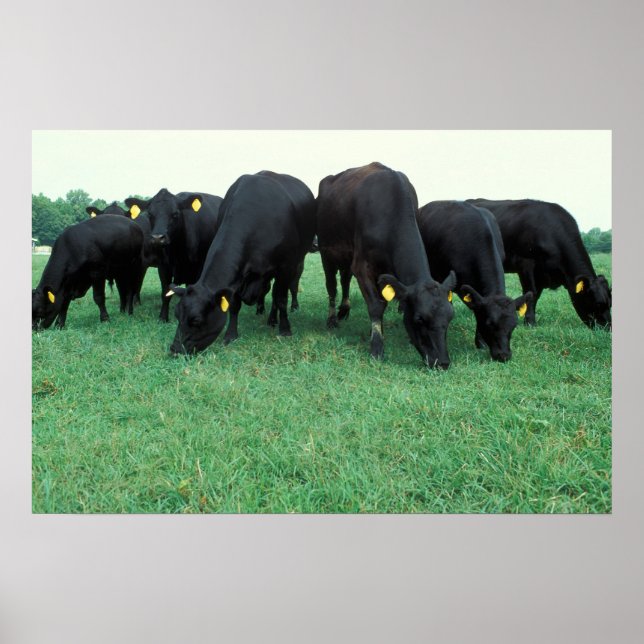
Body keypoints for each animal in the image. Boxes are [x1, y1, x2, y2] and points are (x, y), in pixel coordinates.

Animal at [124, 189, 223, 322]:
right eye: (150, 214)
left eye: (175, 214)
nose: (157, 238)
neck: (178, 253)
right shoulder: (163, 266)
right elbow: (165, 292)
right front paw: (163, 317)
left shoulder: (198, 268)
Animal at [167, 171, 316, 355]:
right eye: (176, 315)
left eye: (196, 321)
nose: (175, 349)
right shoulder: (238, 276)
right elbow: (234, 305)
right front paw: (231, 335)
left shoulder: (286, 266)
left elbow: (281, 298)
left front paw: (285, 329)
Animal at [316, 162, 456, 369]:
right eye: (419, 318)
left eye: (449, 316)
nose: (443, 362)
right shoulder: (362, 266)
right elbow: (376, 305)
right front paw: (377, 347)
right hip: (327, 252)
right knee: (332, 286)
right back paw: (332, 319)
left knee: (345, 280)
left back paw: (344, 309)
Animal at [466, 199, 611, 329]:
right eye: (598, 303)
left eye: (610, 303)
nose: (608, 328)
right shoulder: (526, 264)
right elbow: (531, 293)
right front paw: (530, 322)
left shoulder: (541, 273)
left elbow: (536, 296)